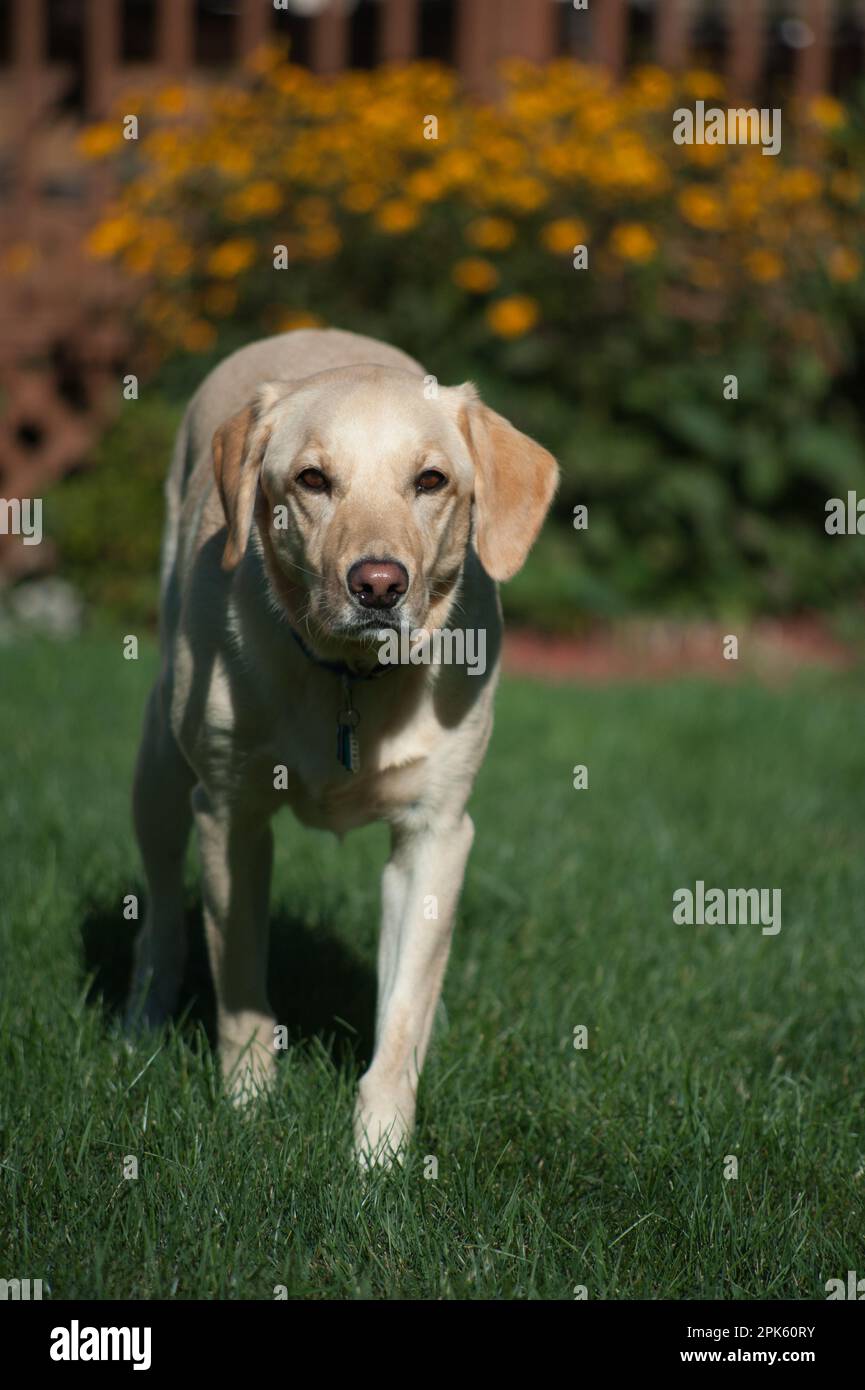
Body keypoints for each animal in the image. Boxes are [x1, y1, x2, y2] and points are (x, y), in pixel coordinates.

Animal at [131, 328, 559, 1162]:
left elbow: (403, 1008)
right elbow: (239, 981)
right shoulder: (229, 814)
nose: (379, 584)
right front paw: (247, 1105)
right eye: (311, 480)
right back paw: (143, 1011)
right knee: (162, 906)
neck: (351, 679)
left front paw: (380, 1152)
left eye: (430, 480)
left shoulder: (436, 834)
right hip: (161, 765)